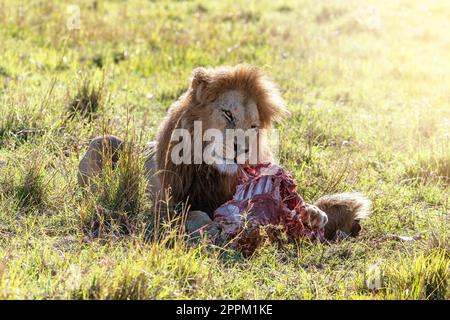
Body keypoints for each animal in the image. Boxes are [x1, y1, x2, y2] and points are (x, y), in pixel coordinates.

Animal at [78, 64, 370, 240]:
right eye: (228, 114)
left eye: (253, 126)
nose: (243, 149)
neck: (211, 172)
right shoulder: (162, 205)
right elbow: (192, 213)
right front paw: (207, 227)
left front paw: (312, 213)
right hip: (101, 143)